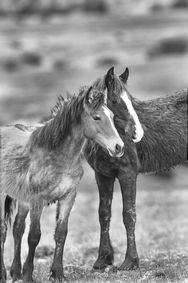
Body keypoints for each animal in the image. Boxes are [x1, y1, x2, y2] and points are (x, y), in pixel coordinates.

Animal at [0, 86, 125, 283]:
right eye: (96, 117)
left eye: (112, 116)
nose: (119, 147)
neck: (58, 154)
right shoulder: (38, 200)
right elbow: (34, 236)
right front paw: (28, 274)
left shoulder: (68, 196)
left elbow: (61, 233)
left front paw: (57, 273)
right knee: (3, 230)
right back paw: (4, 274)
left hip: (22, 199)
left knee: (17, 228)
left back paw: (15, 272)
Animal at [84, 67, 188, 272]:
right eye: (114, 100)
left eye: (131, 100)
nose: (137, 132)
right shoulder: (102, 175)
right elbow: (104, 214)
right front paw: (103, 259)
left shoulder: (128, 174)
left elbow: (129, 214)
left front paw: (130, 261)